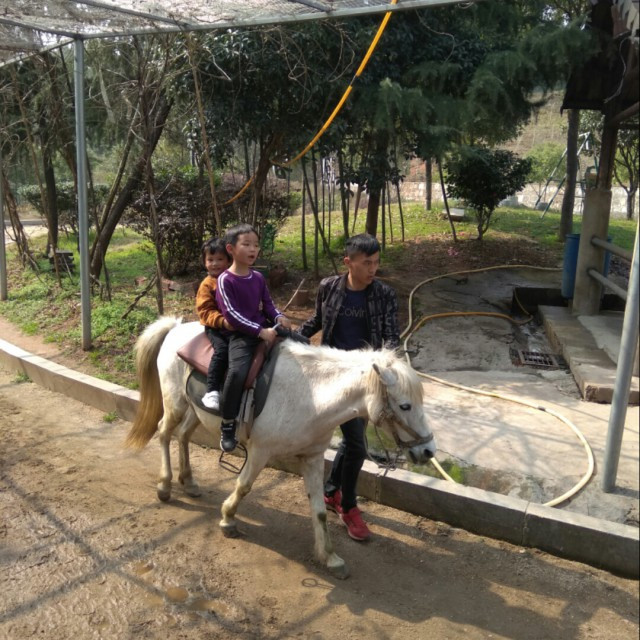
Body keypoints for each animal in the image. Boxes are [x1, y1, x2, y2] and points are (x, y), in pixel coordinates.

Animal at [125, 316, 436, 578]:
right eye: (405, 406)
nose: (428, 451)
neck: (312, 395)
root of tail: (175, 327)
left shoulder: (312, 458)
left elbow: (319, 509)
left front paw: (330, 557)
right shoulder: (260, 451)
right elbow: (243, 486)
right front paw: (227, 519)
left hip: (195, 409)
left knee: (183, 436)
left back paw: (188, 482)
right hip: (175, 402)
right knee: (164, 433)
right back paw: (165, 485)